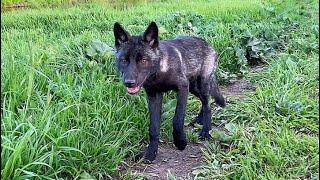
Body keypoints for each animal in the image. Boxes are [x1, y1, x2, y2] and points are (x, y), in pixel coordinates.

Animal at [112, 21, 225, 162]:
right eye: (123, 60)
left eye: (143, 60)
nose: (129, 82)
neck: (159, 73)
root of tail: (207, 44)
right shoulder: (154, 97)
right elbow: (153, 128)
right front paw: (150, 153)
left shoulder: (182, 88)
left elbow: (177, 120)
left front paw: (180, 142)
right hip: (193, 88)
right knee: (205, 102)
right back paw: (200, 119)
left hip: (202, 84)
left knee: (207, 105)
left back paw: (206, 131)